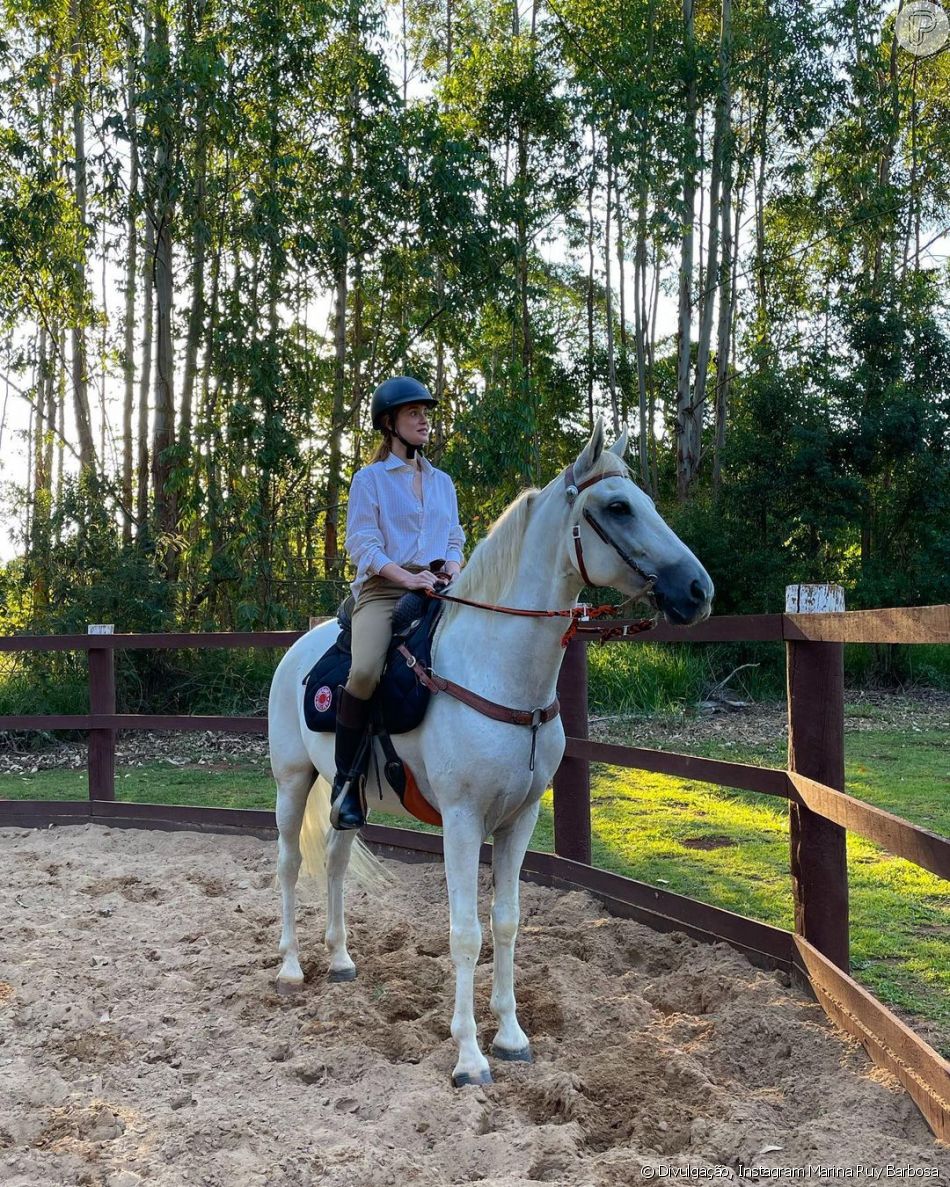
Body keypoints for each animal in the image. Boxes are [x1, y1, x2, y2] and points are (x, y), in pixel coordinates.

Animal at [267, 417, 712, 1087]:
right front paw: (470, 1058)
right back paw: (292, 967)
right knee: (292, 863)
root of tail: (299, 647)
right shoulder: (461, 821)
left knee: (338, 863)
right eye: (618, 507)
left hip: (349, 796)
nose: (698, 590)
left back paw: (341, 959)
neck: (497, 672)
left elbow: (506, 921)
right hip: (292, 782)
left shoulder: (518, 820)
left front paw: (510, 1036)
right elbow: (465, 933)